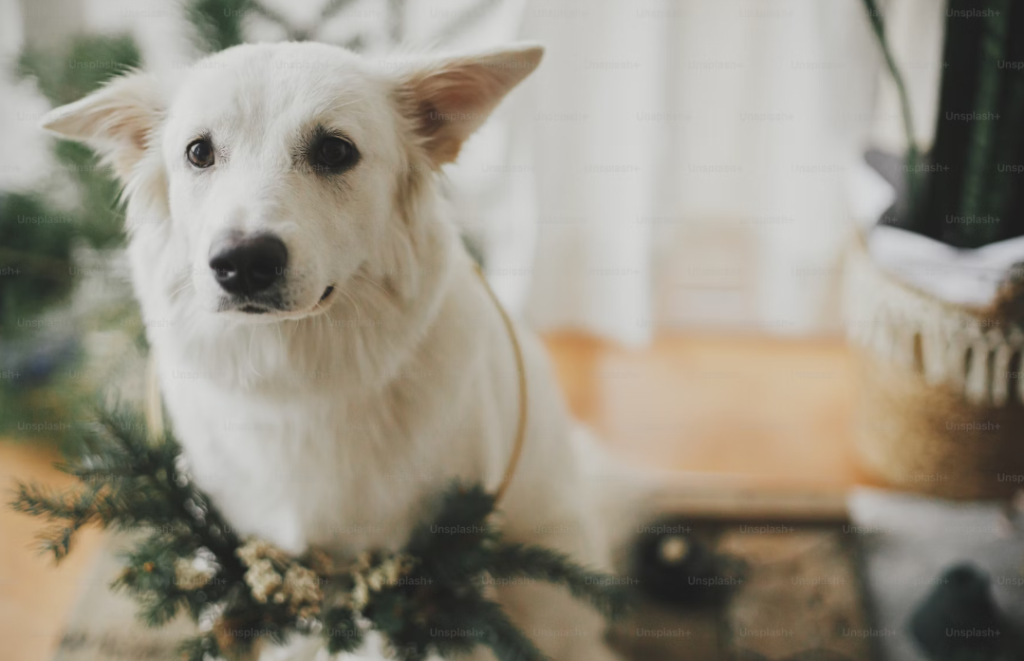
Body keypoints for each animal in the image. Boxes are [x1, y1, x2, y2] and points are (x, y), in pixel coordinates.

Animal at [41, 42, 647, 661]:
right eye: (199, 152)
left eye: (334, 150)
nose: (243, 263)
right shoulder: (233, 542)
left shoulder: (440, 564)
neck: (300, 386)